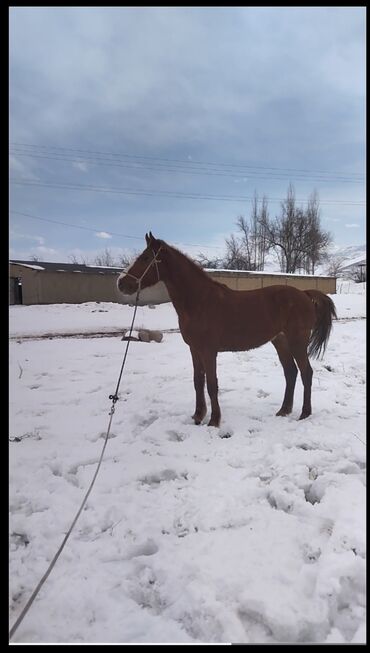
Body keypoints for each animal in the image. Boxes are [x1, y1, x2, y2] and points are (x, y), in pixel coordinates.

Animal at [117, 233, 336, 428]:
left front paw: (214, 421)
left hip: (297, 341)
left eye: (145, 258)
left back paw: (304, 413)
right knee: (290, 372)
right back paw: (283, 410)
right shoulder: (194, 350)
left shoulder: (208, 351)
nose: (121, 283)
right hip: (280, 341)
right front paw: (198, 416)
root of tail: (305, 294)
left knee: (306, 372)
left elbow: (212, 385)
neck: (199, 301)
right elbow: (198, 381)